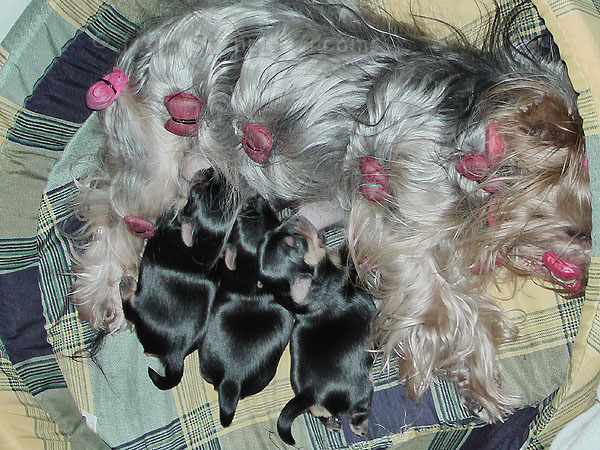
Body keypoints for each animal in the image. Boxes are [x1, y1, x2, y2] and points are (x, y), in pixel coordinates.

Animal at [119, 168, 237, 390]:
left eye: (201, 186)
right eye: (215, 185)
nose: (211, 169)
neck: (200, 251)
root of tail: (176, 354)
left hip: (138, 310)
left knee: (129, 306)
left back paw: (126, 285)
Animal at [258, 216, 376, 445]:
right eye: (295, 244)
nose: (294, 217)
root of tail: (309, 394)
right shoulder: (345, 269)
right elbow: (348, 251)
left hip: (314, 405)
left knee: (320, 412)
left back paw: (332, 424)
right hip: (362, 388)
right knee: (359, 410)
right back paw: (360, 427)